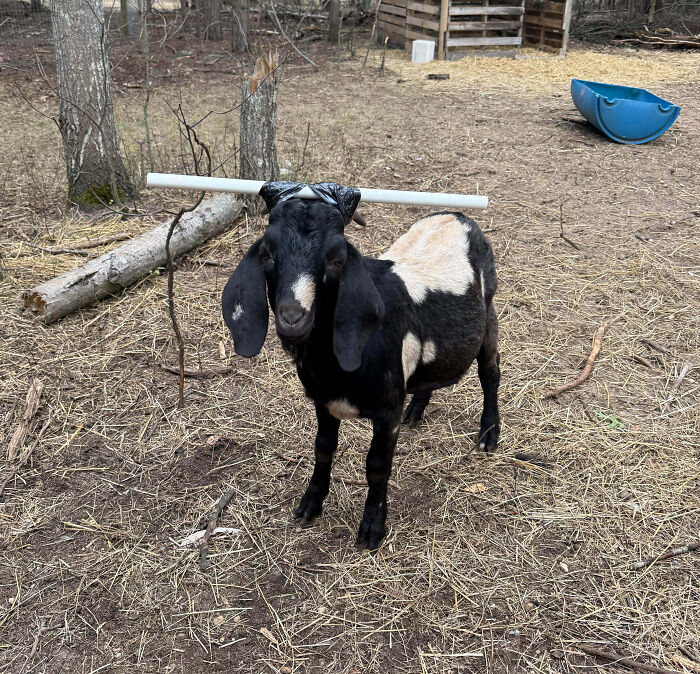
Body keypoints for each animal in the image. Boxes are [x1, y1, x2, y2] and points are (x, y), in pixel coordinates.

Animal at [222, 184, 500, 550]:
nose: (293, 317)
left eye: (337, 259)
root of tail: (456, 215)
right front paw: (310, 504)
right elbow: (323, 449)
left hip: (489, 311)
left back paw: (489, 434)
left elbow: (377, 466)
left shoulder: (386, 413)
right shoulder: (323, 402)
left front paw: (372, 528)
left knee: (490, 372)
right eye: (267, 253)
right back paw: (417, 410)